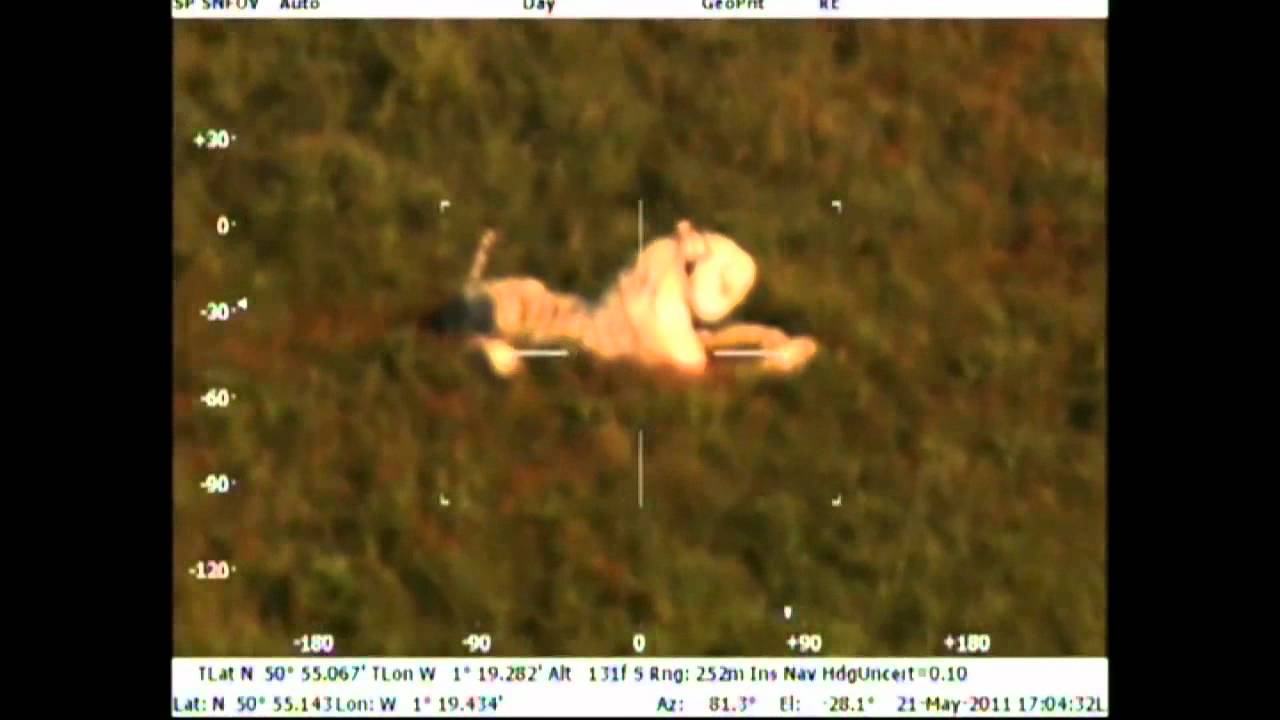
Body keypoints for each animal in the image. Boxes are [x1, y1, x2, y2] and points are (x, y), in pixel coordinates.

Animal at [422, 219, 819, 378]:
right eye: (726, 268)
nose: (754, 265)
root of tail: (467, 289)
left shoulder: (703, 345)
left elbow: (742, 334)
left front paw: (794, 342)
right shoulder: (687, 372)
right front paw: (791, 354)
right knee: (470, 343)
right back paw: (506, 363)